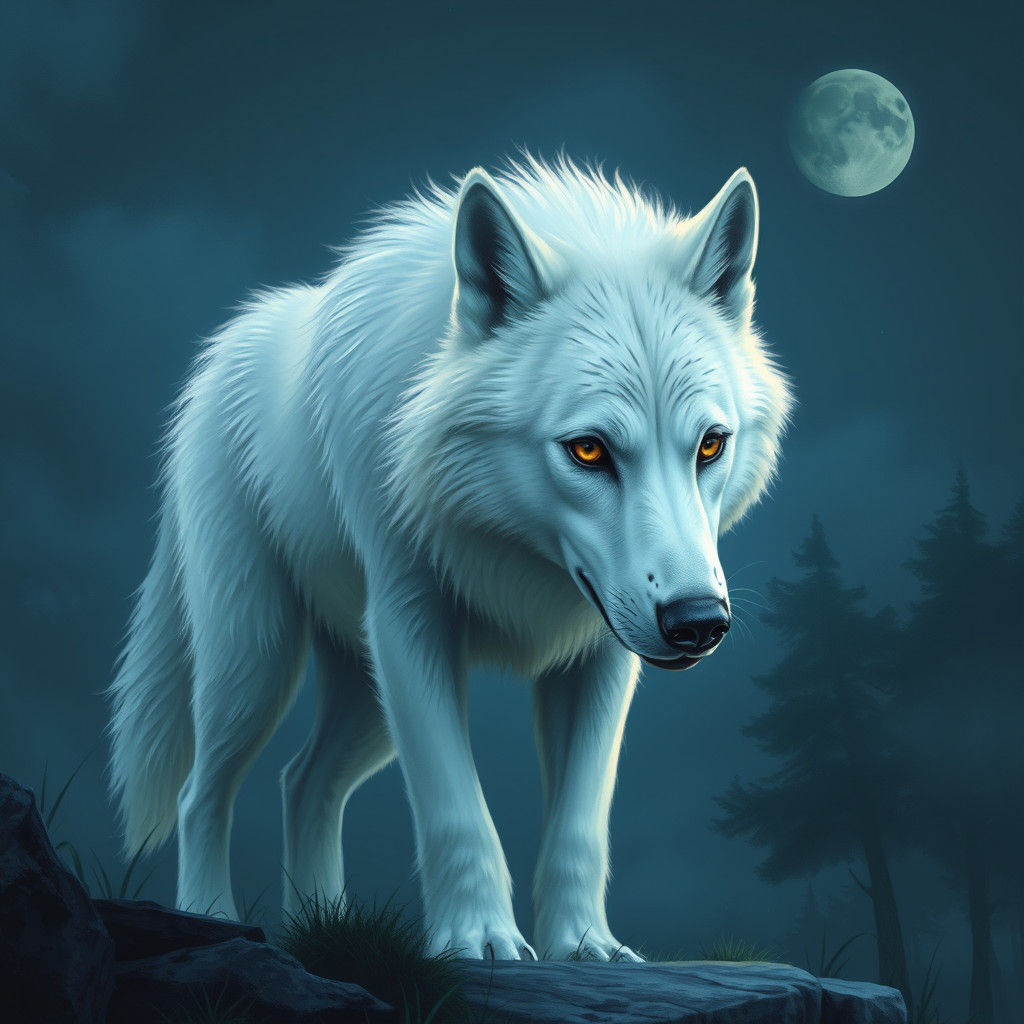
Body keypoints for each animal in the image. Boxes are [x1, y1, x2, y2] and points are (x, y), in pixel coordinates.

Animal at [107, 154, 792, 961]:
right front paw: (480, 940)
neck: (512, 548)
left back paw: (324, 931)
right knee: (203, 791)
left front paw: (584, 945)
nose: (699, 621)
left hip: (364, 694)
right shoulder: (411, 621)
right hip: (259, 661)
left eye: (711, 444)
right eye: (589, 450)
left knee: (303, 782)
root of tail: (220, 353)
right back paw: (214, 919)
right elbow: (455, 805)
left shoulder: (600, 652)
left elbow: (580, 822)